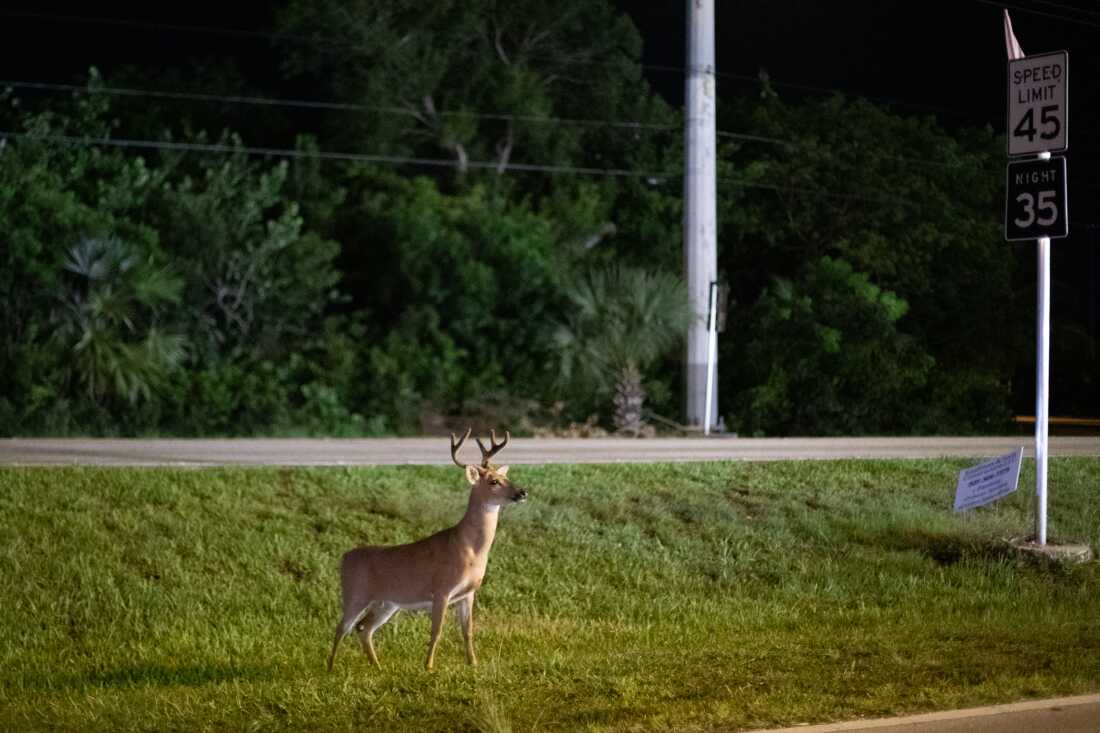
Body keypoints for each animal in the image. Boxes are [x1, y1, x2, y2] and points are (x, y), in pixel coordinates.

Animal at [326, 428, 527, 672]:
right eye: (494, 481)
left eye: (506, 477)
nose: (522, 492)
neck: (469, 549)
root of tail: (344, 557)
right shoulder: (441, 589)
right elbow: (436, 631)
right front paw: (429, 666)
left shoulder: (468, 593)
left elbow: (468, 631)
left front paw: (473, 664)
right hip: (355, 592)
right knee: (341, 627)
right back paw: (330, 668)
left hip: (387, 603)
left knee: (364, 628)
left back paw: (378, 666)